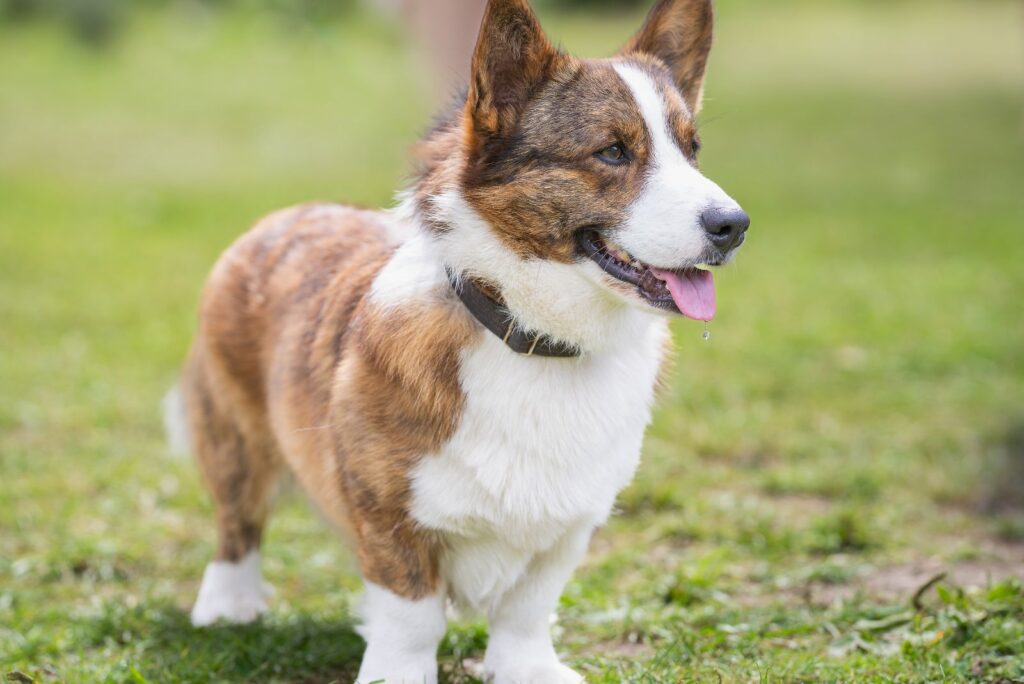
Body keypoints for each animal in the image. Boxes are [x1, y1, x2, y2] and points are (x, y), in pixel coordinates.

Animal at [174, 1, 753, 679]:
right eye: (612, 151)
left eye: (693, 151)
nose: (734, 226)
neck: (535, 338)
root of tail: (286, 215)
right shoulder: (391, 514)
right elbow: (410, 615)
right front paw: (396, 673)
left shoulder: (567, 525)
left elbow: (528, 608)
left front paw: (527, 667)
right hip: (234, 434)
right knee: (237, 520)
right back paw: (227, 605)